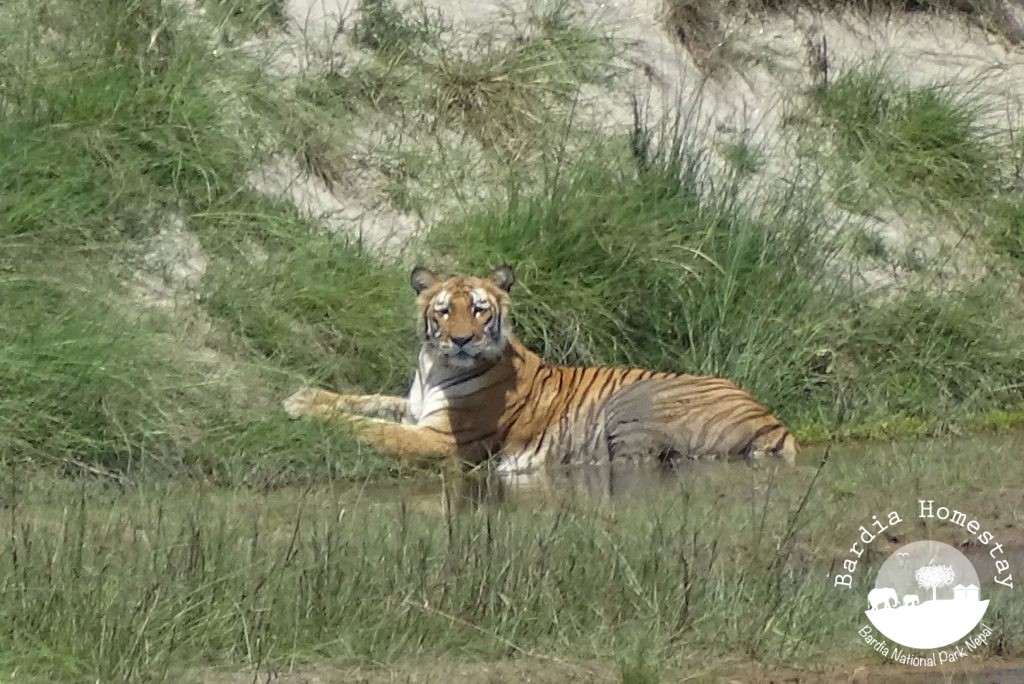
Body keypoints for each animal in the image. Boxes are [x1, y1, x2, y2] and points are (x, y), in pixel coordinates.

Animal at [282, 265, 798, 472]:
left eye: (480, 310)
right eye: (444, 311)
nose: (462, 340)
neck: (434, 369)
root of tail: (775, 420)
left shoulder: (440, 439)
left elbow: (370, 428)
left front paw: (305, 414)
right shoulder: (413, 408)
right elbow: (366, 401)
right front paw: (304, 395)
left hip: (630, 404)